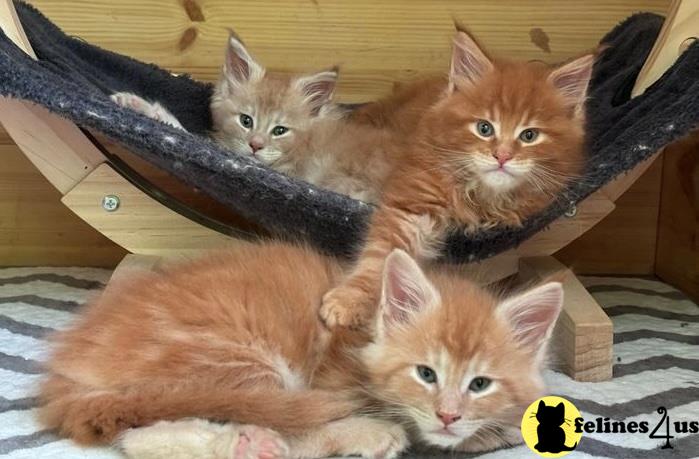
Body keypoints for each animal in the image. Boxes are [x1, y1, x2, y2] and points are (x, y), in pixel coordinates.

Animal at [39, 243, 564, 458]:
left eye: (480, 383)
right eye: (426, 374)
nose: (448, 415)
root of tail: (69, 372)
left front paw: (487, 428)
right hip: (240, 359)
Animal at [320, 29, 592, 328]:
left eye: (529, 135)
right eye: (484, 128)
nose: (502, 156)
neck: (482, 194)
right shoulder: (415, 199)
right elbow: (381, 256)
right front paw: (349, 300)